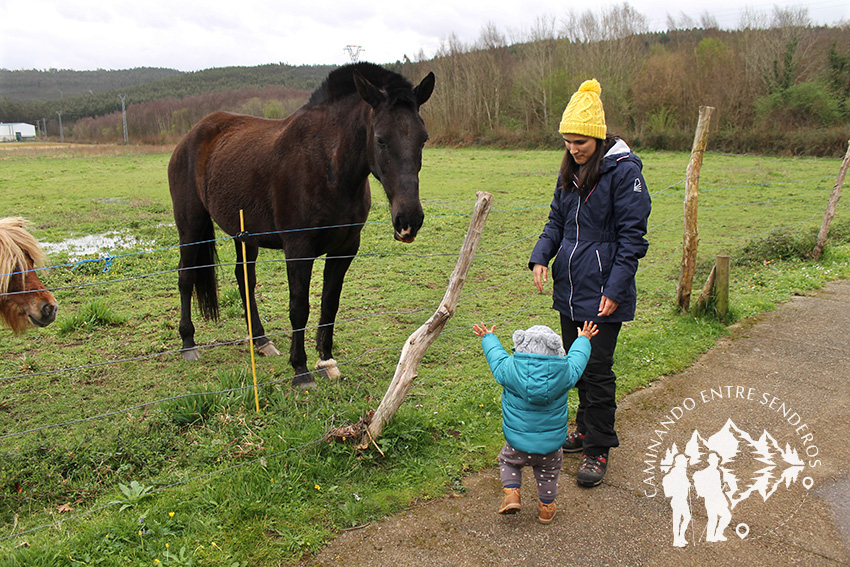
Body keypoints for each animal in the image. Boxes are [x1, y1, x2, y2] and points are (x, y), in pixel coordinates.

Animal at [169, 64, 434, 388]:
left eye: (423, 138)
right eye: (381, 139)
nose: (409, 221)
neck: (328, 166)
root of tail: (191, 136)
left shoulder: (345, 249)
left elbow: (330, 304)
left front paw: (327, 361)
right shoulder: (298, 249)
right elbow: (299, 307)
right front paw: (301, 370)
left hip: (244, 236)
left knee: (244, 280)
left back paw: (261, 341)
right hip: (191, 227)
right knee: (186, 276)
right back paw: (188, 343)